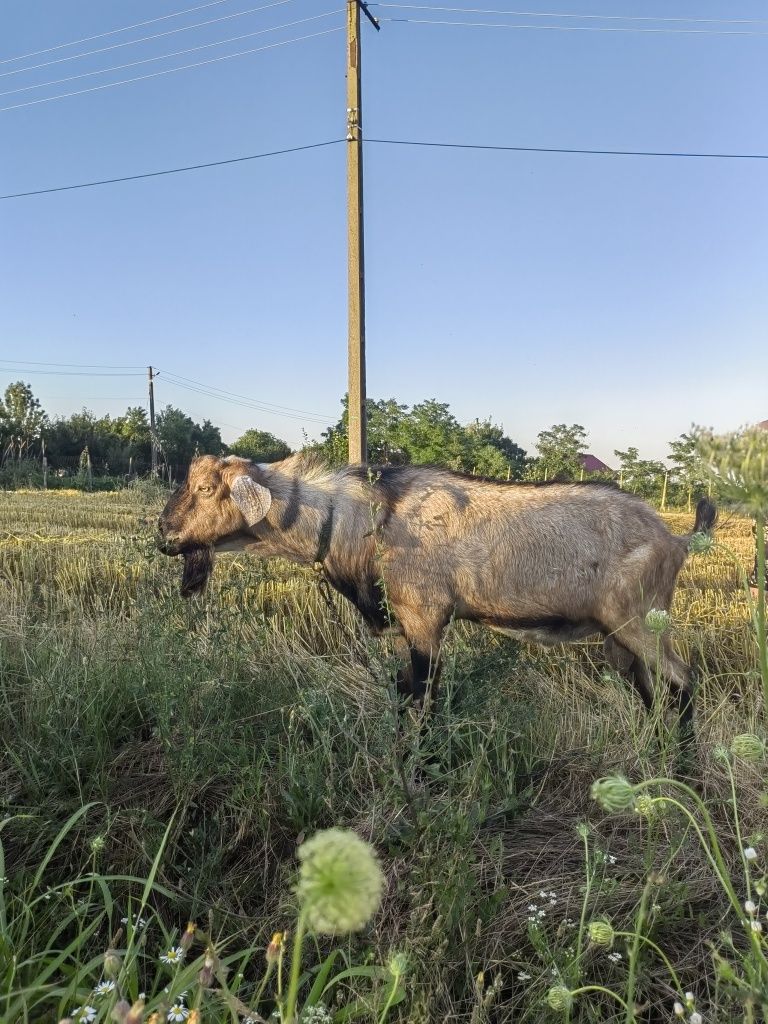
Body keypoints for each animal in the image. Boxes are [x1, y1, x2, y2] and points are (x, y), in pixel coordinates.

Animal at [157, 454, 720, 729]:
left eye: (206, 488)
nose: (164, 535)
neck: (362, 521)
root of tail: (677, 538)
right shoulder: (404, 627)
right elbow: (404, 691)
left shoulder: (427, 618)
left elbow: (424, 699)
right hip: (616, 636)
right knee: (647, 688)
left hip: (641, 618)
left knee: (681, 680)